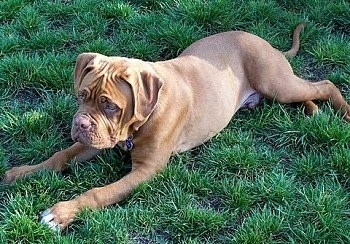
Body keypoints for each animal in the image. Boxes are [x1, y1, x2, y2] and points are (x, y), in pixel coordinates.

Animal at [3, 21, 350, 230]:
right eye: (81, 96)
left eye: (110, 105)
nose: (79, 123)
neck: (141, 120)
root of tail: (266, 42)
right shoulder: (97, 141)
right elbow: (60, 156)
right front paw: (22, 173)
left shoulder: (145, 170)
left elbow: (99, 193)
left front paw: (61, 213)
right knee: (309, 93)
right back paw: (314, 113)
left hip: (276, 82)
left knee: (324, 84)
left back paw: (343, 113)